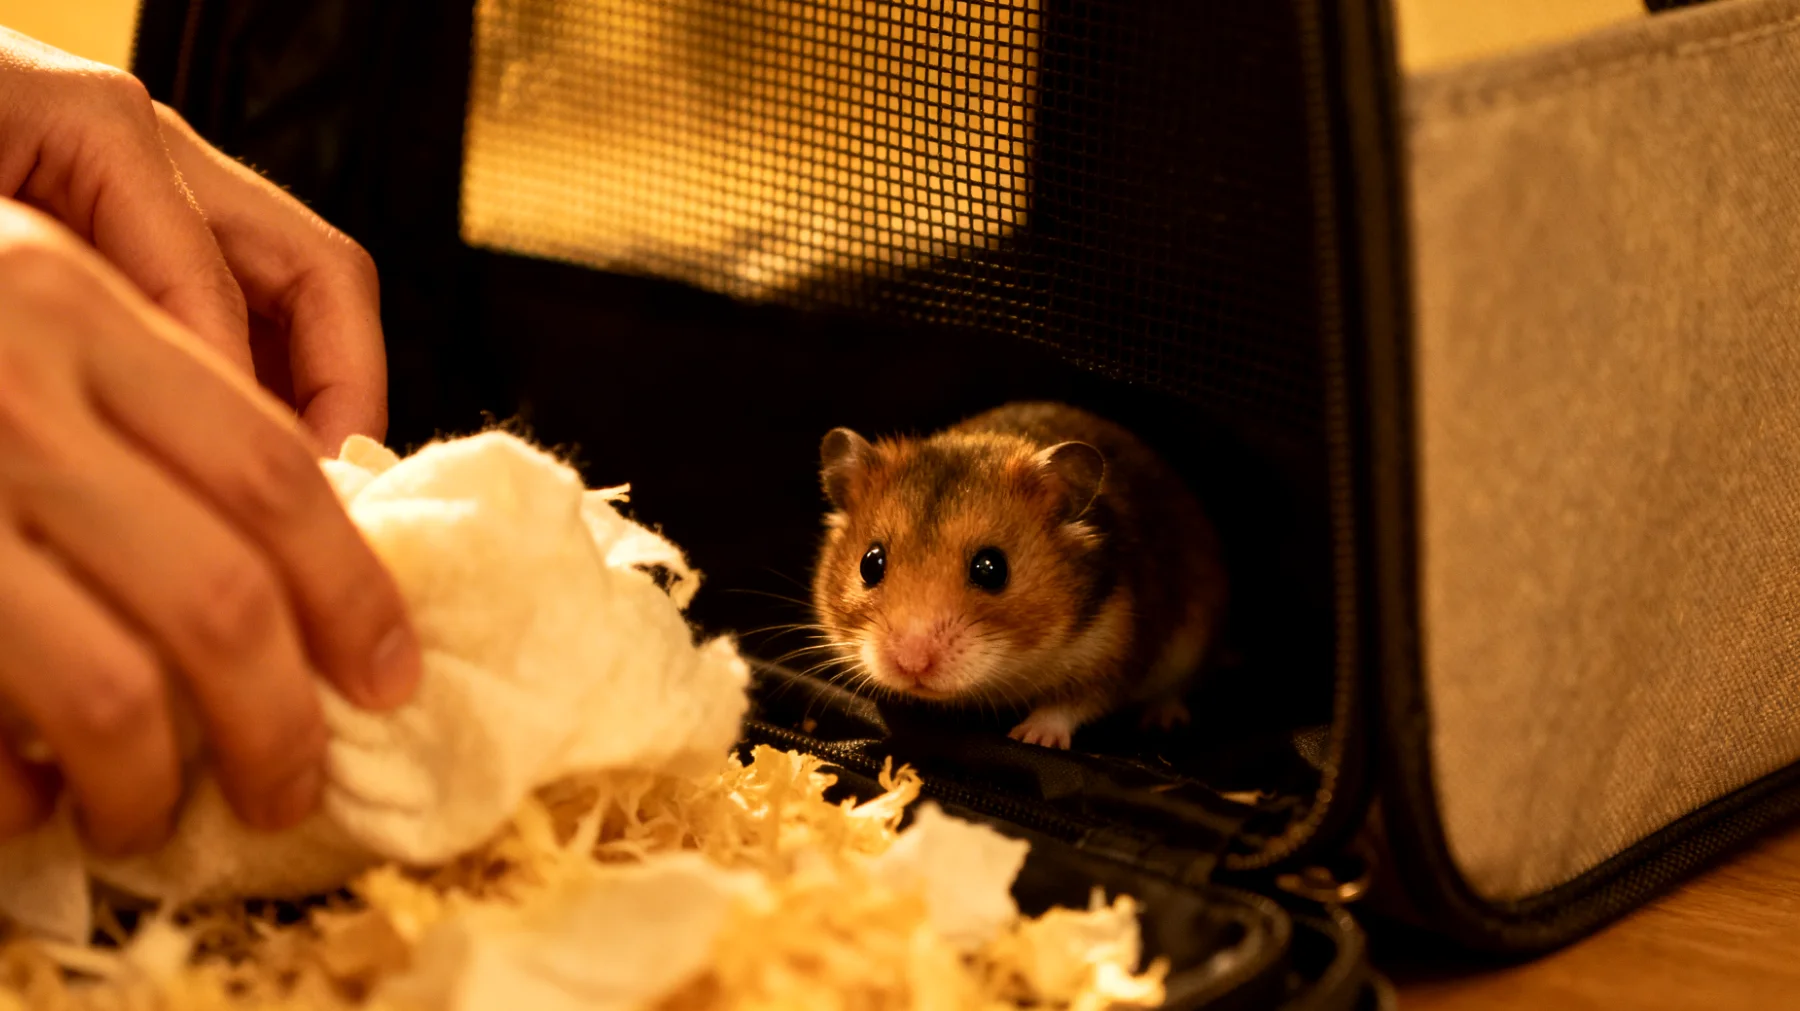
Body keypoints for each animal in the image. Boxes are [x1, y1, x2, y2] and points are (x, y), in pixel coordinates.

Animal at [810, 401, 1227, 749]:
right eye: (870, 564)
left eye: (991, 569)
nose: (912, 665)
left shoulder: (1116, 649)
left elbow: (1072, 703)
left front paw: (1031, 737)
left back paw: (1163, 719)